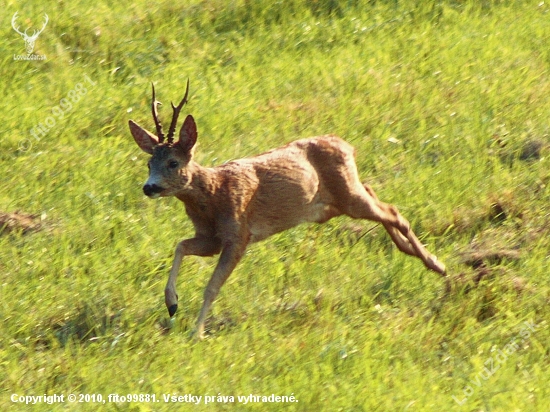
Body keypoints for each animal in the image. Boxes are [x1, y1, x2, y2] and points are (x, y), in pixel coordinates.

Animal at [129, 80, 448, 338]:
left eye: (173, 163)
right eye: (149, 163)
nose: (149, 187)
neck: (213, 193)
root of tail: (346, 144)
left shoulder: (238, 234)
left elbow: (212, 286)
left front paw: (196, 333)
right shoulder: (210, 238)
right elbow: (181, 245)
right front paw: (172, 303)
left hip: (347, 197)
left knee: (393, 211)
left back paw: (437, 265)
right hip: (335, 203)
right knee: (377, 199)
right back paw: (414, 253)